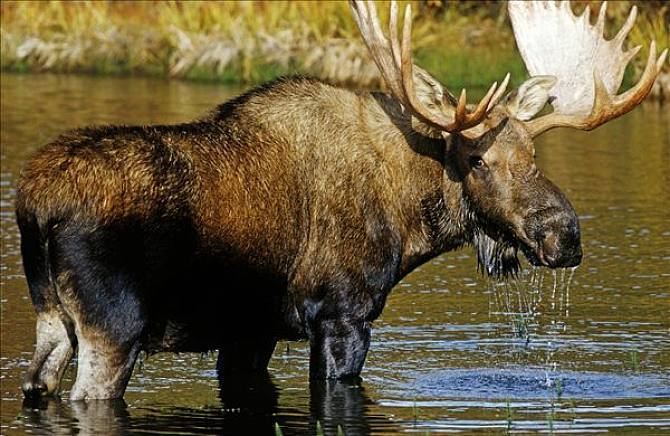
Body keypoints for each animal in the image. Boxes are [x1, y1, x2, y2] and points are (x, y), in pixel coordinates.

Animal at [16, 0, 666, 400]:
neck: (408, 224)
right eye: (478, 160)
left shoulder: (250, 330)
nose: (565, 234)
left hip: (51, 316)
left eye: (534, 153)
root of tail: (34, 200)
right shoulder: (342, 313)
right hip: (113, 326)